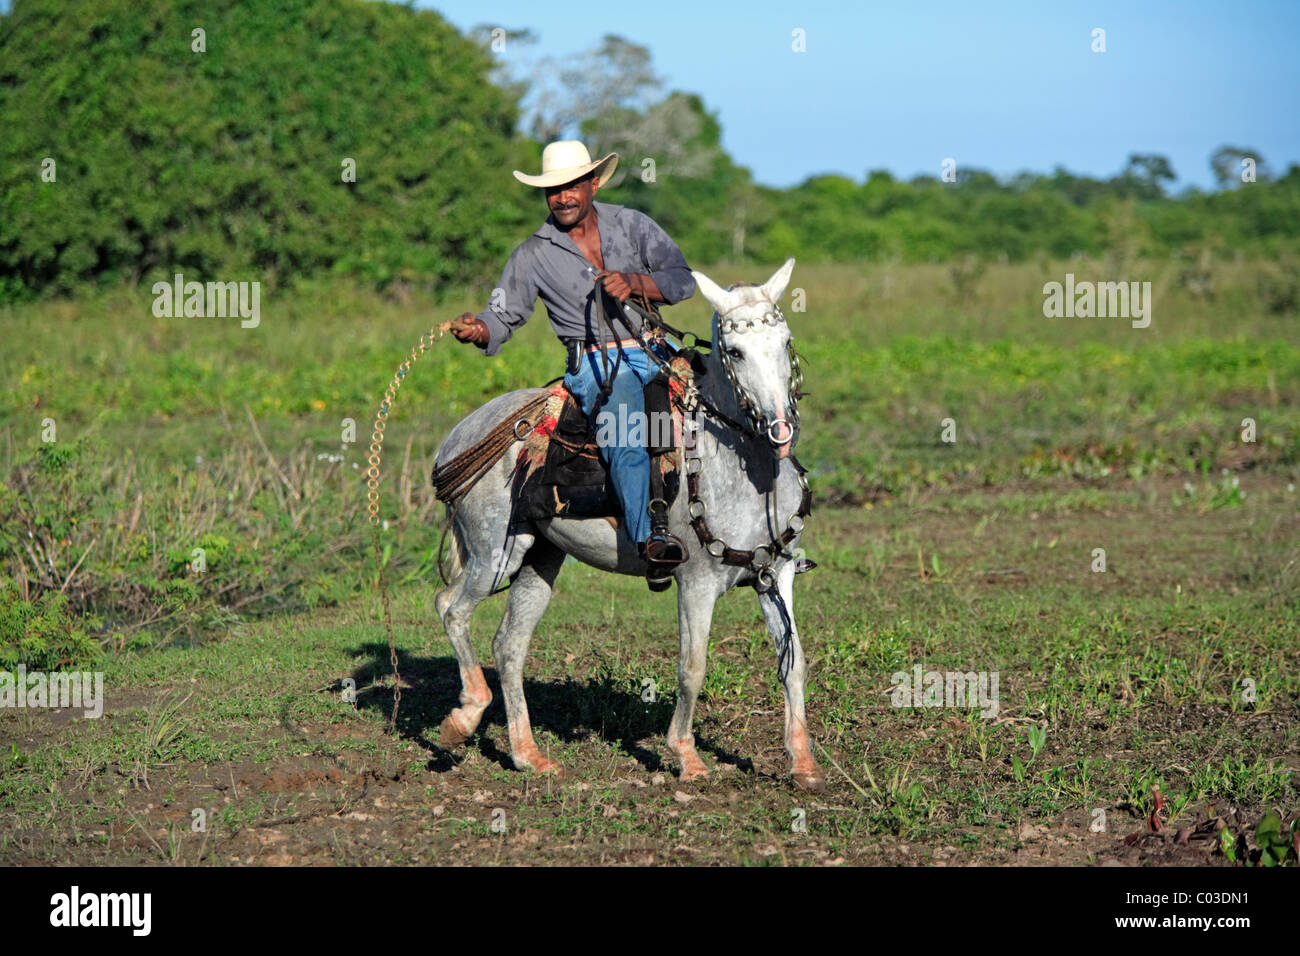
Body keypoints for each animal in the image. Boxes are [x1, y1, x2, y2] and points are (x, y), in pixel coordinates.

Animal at [431, 260, 826, 790]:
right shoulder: (696, 583)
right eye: (736, 352)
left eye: (784, 342)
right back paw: (465, 716)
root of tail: (461, 436)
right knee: (452, 608)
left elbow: (794, 664)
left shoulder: (775, 576)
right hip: (494, 555)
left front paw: (803, 764)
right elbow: (692, 668)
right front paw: (687, 758)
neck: (739, 466)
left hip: (539, 557)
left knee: (509, 645)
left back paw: (528, 755)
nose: (779, 428)